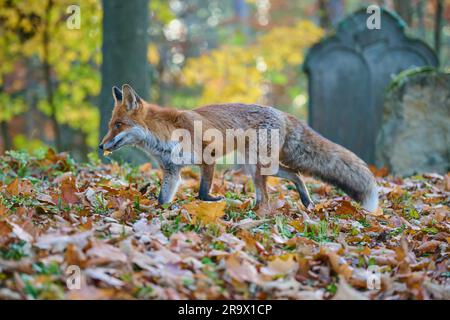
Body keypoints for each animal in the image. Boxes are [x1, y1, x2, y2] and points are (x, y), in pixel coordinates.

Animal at [100, 85, 378, 212]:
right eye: (111, 125)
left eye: (118, 125)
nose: (101, 145)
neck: (164, 136)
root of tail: (282, 113)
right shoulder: (172, 170)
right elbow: (163, 198)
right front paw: (159, 212)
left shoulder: (208, 157)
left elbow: (202, 192)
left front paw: (214, 201)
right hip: (258, 166)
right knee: (296, 175)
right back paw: (305, 201)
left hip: (259, 167)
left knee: (267, 196)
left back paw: (256, 212)